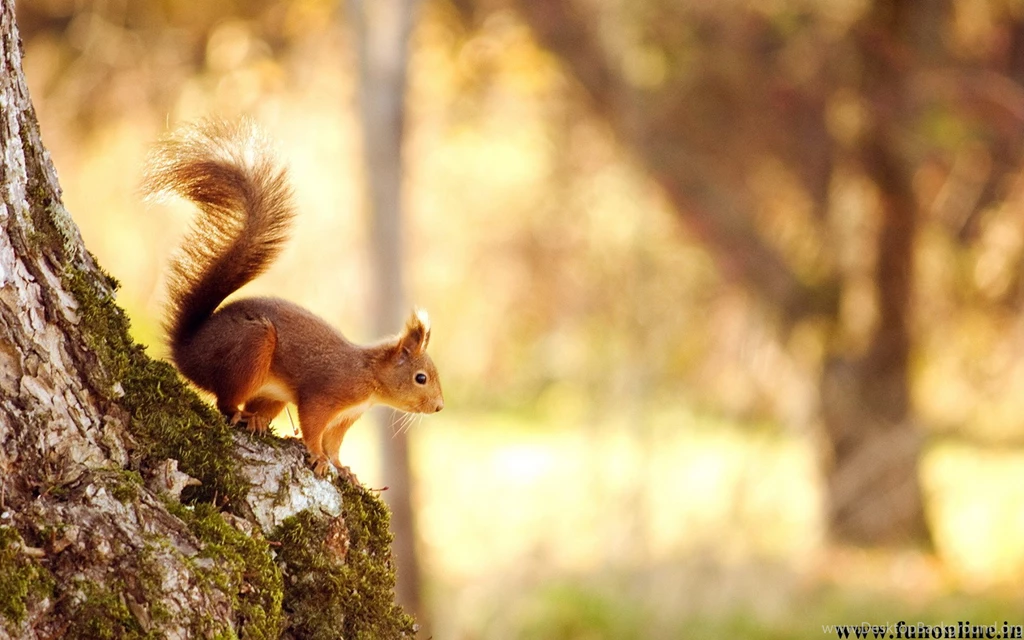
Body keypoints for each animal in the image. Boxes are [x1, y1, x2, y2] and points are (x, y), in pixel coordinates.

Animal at [144, 119, 444, 477]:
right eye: (420, 378)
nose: (439, 407)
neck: (368, 376)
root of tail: (187, 351)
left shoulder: (346, 417)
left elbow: (334, 443)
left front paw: (342, 467)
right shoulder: (325, 394)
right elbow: (313, 426)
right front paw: (317, 456)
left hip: (272, 393)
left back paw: (257, 420)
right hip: (250, 348)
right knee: (225, 401)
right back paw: (241, 414)